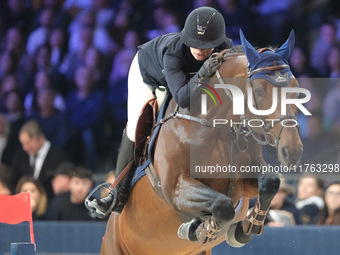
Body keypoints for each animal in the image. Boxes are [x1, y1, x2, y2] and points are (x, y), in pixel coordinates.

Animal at [100, 30, 302, 255]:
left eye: (295, 89)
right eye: (259, 91)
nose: (292, 151)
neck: (215, 124)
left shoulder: (247, 177)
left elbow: (270, 182)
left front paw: (244, 229)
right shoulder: (175, 188)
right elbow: (222, 205)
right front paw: (201, 230)